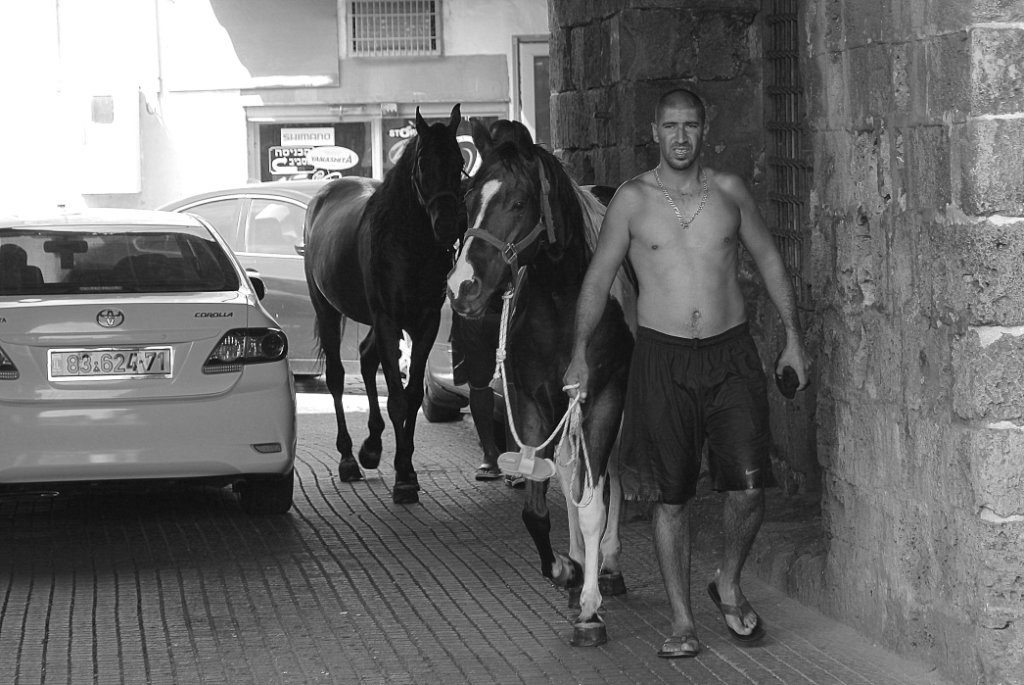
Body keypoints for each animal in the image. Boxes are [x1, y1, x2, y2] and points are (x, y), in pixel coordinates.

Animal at [303, 105, 464, 501]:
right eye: (422, 162)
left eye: (459, 161)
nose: (446, 225)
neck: (409, 244)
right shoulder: (389, 320)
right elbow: (398, 398)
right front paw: (403, 476)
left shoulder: (424, 323)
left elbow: (412, 394)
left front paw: (405, 468)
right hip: (327, 309)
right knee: (336, 376)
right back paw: (348, 458)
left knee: (365, 357)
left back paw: (371, 447)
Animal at [446, 120, 630, 643]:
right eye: (468, 195)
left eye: (518, 201)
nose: (463, 286)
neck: (566, 302)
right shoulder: (531, 402)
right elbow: (538, 507)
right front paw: (566, 570)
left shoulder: (603, 397)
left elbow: (594, 499)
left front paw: (591, 607)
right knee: (571, 474)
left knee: (610, 474)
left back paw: (608, 565)